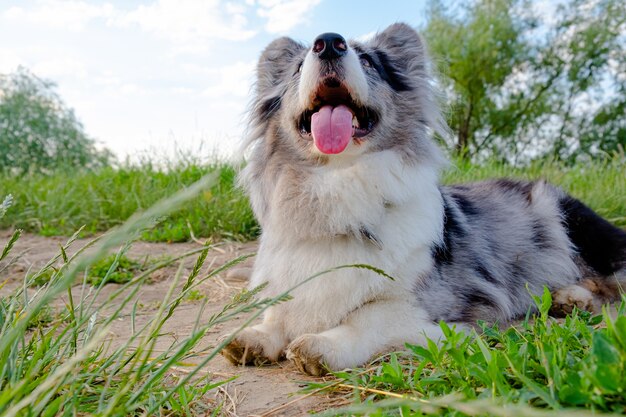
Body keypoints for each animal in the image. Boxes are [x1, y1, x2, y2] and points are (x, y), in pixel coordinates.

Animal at [221, 22, 624, 374]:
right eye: (298, 67)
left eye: (368, 61)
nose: (330, 42)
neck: (338, 183)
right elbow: (277, 311)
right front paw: (255, 336)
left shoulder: (442, 304)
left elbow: (370, 314)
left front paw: (323, 344)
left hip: (573, 222)